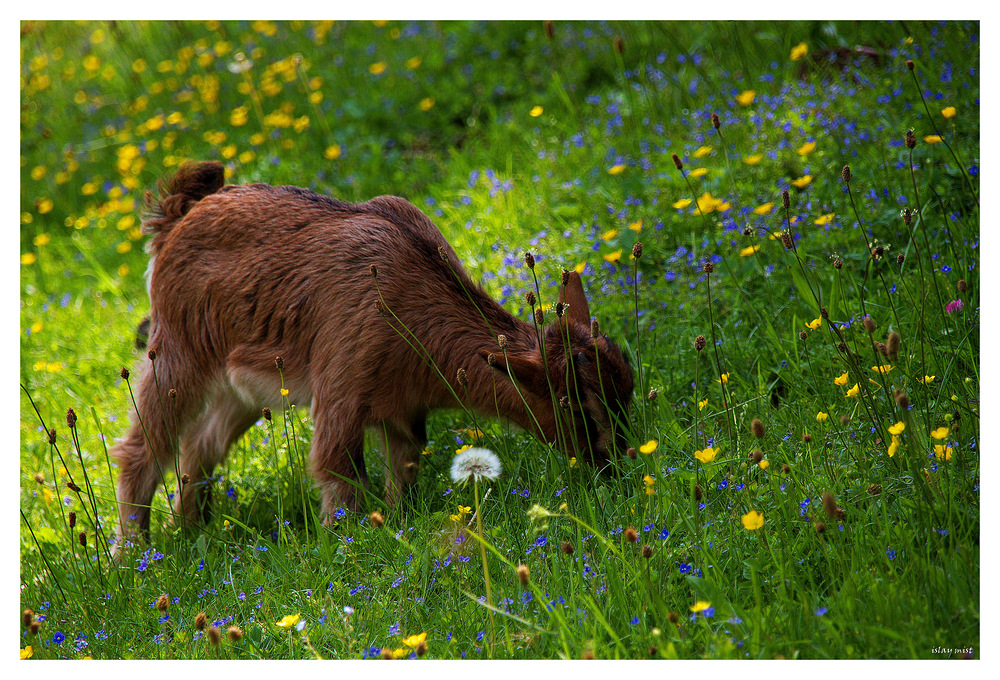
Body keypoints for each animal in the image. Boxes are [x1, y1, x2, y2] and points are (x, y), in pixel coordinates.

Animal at [113, 162, 632, 544]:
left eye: (626, 386)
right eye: (577, 409)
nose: (617, 468)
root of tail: (177, 216)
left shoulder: (403, 410)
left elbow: (404, 466)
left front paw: (399, 523)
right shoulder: (341, 392)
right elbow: (339, 474)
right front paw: (341, 551)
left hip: (242, 384)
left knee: (201, 443)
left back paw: (189, 529)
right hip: (177, 352)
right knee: (141, 450)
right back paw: (134, 556)